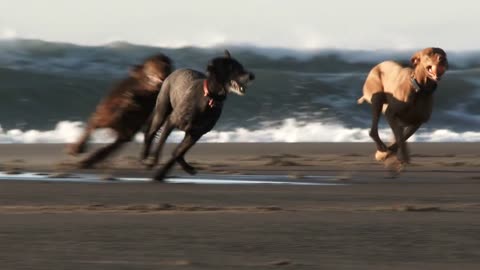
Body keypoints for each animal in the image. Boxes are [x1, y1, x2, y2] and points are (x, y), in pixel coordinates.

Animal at [142, 50, 255, 181]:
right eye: (232, 68)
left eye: (241, 66)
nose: (252, 76)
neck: (210, 98)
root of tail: (174, 72)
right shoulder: (171, 121)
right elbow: (161, 145)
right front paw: (153, 162)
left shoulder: (197, 134)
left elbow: (178, 152)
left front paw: (161, 174)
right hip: (162, 109)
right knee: (151, 133)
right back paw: (144, 157)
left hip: (188, 131)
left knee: (178, 152)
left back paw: (187, 167)